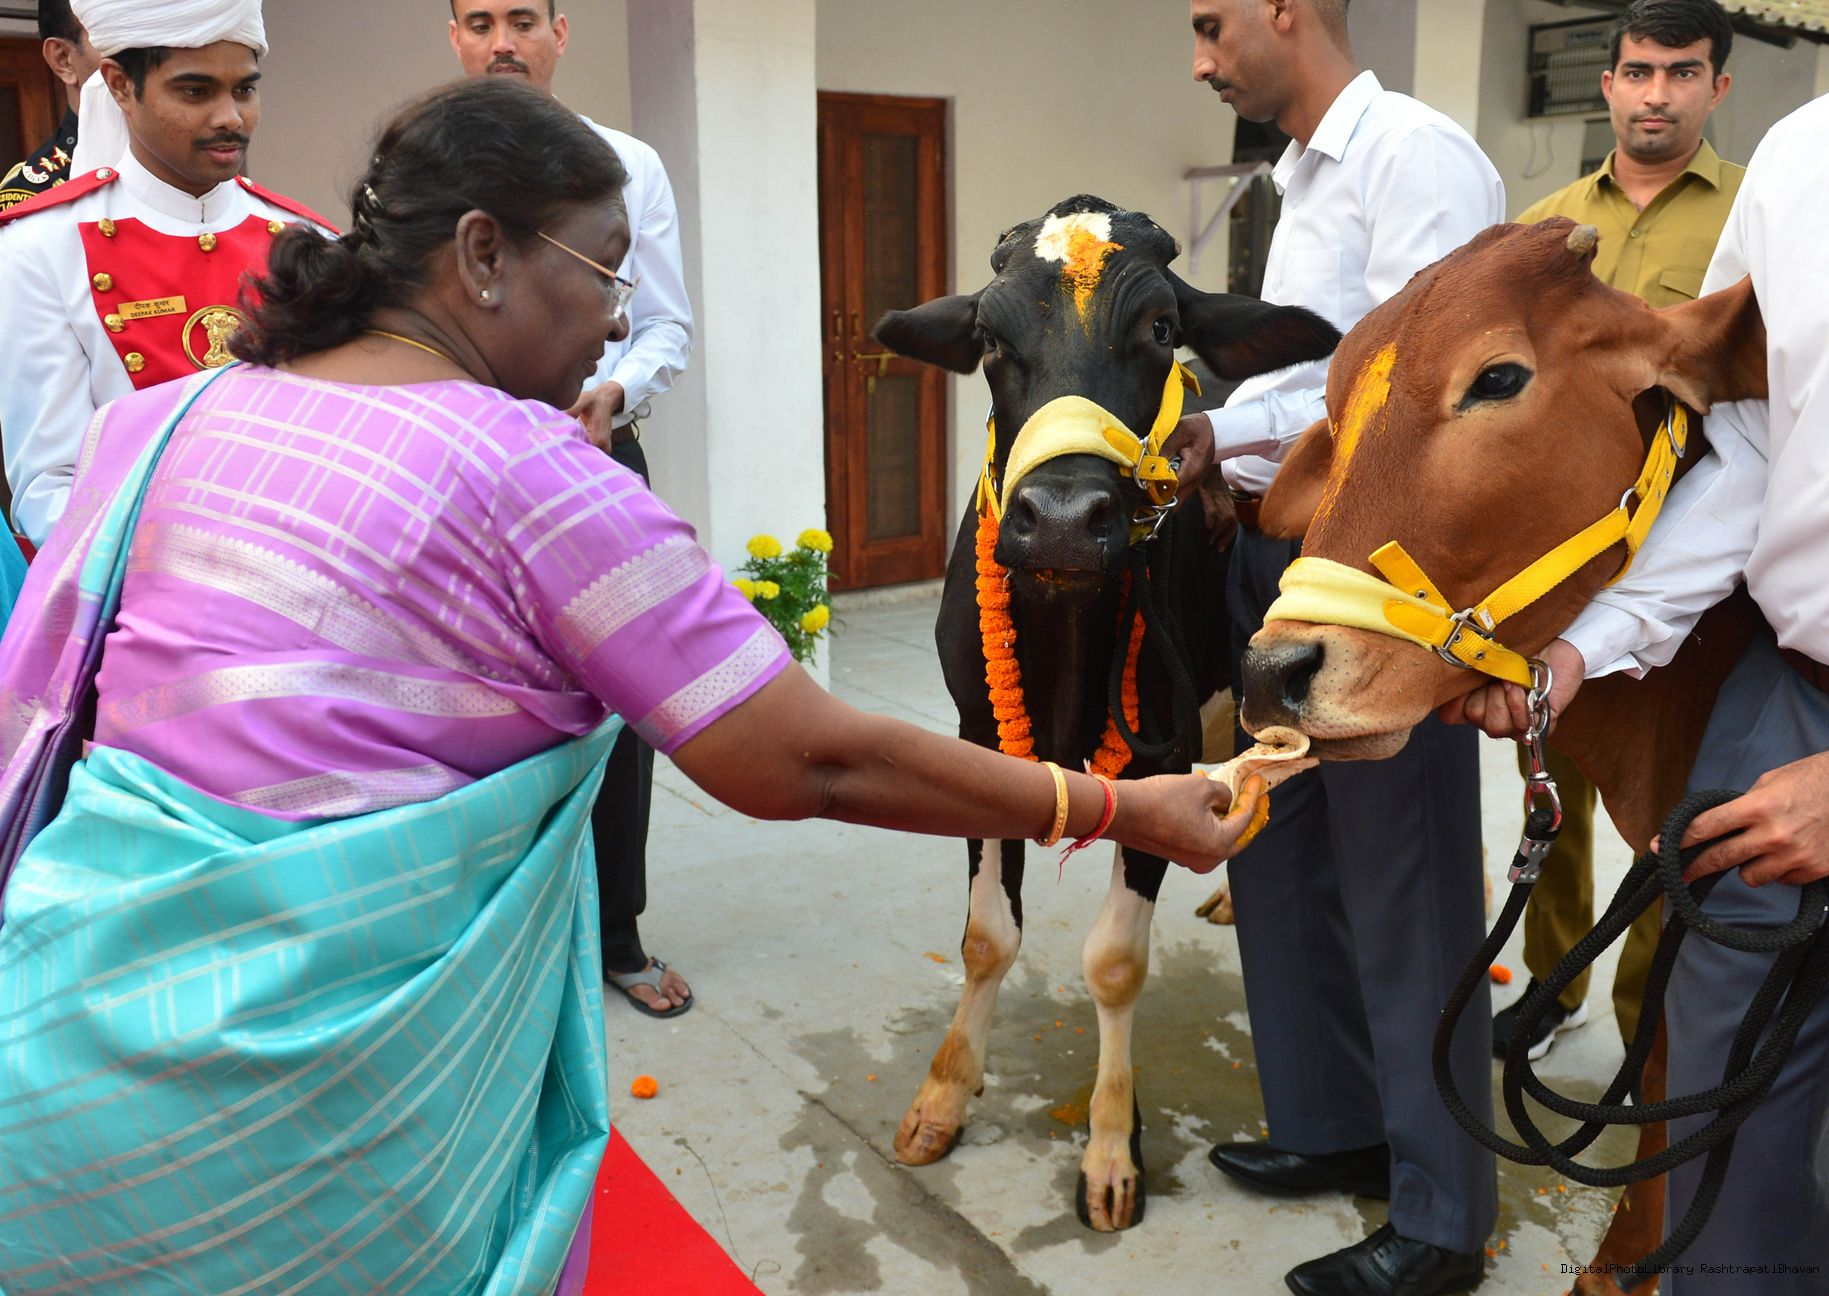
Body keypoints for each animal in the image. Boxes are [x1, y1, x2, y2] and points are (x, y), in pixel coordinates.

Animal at [871, 194, 1339, 1232]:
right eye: (986, 337)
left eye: (1160, 329)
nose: (1059, 519)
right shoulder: (976, 733)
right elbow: (984, 937)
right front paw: (941, 1097)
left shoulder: (1160, 758)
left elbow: (1115, 962)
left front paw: (1111, 1151)